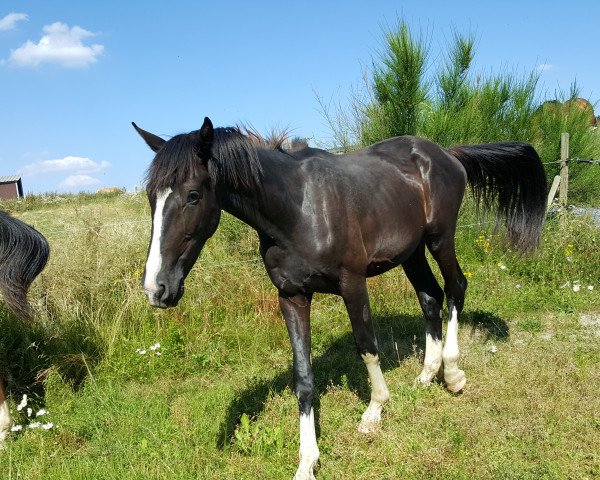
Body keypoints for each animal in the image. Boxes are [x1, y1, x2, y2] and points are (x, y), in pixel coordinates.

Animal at [134, 117, 548, 480]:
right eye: (152, 197)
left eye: (192, 195)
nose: (157, 289)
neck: (299, 209)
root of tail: (446, 153)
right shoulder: (292, 296)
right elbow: (303, 377)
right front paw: (307, 462)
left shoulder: (353, 283)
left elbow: (367, 347)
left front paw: (374, 412)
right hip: (412, 251)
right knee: (430, 296)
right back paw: (427, 374)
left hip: (440, 238)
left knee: (455, 288)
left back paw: (453, 373)